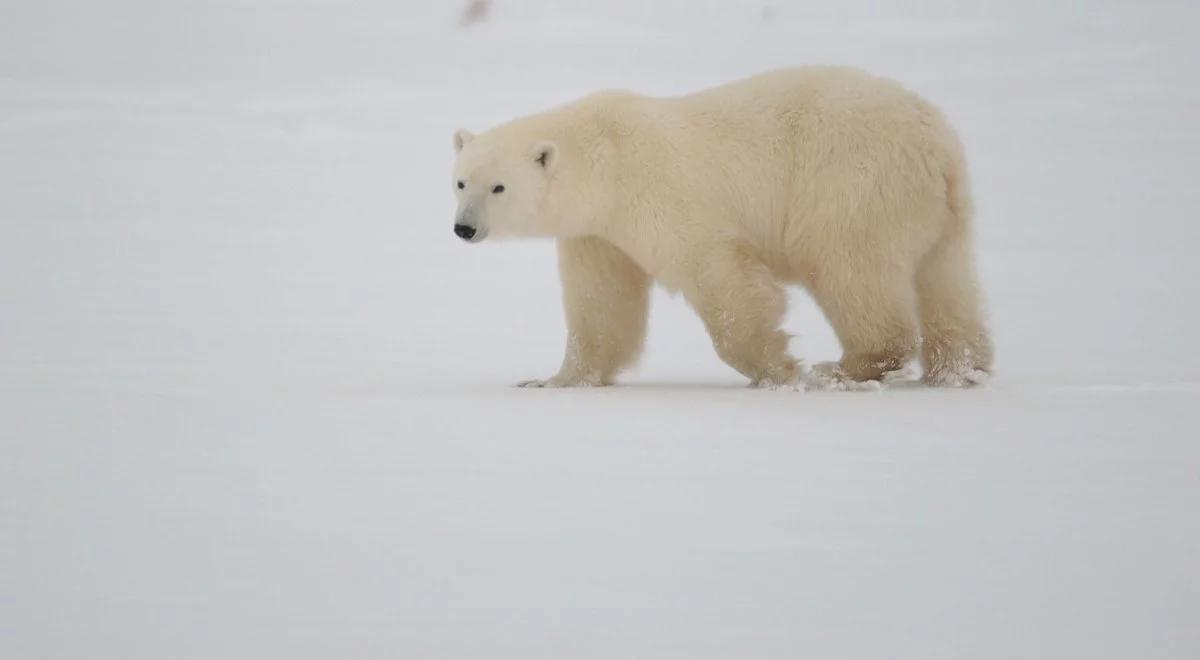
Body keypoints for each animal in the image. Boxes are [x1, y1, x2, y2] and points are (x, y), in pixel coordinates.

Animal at [451, 68, 993, 388]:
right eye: (459, 181)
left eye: (498, 187)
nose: (463, 229)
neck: (603, 156)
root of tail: (936, 143)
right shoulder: (599, 232)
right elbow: (601, 304)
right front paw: (552, 381)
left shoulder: (659, 194)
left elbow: (718, 278)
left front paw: (777, 370)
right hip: (937, 211)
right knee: (946, 281)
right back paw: (960, 368)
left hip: (851, 184)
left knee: (849, 268)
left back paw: (847, 367)